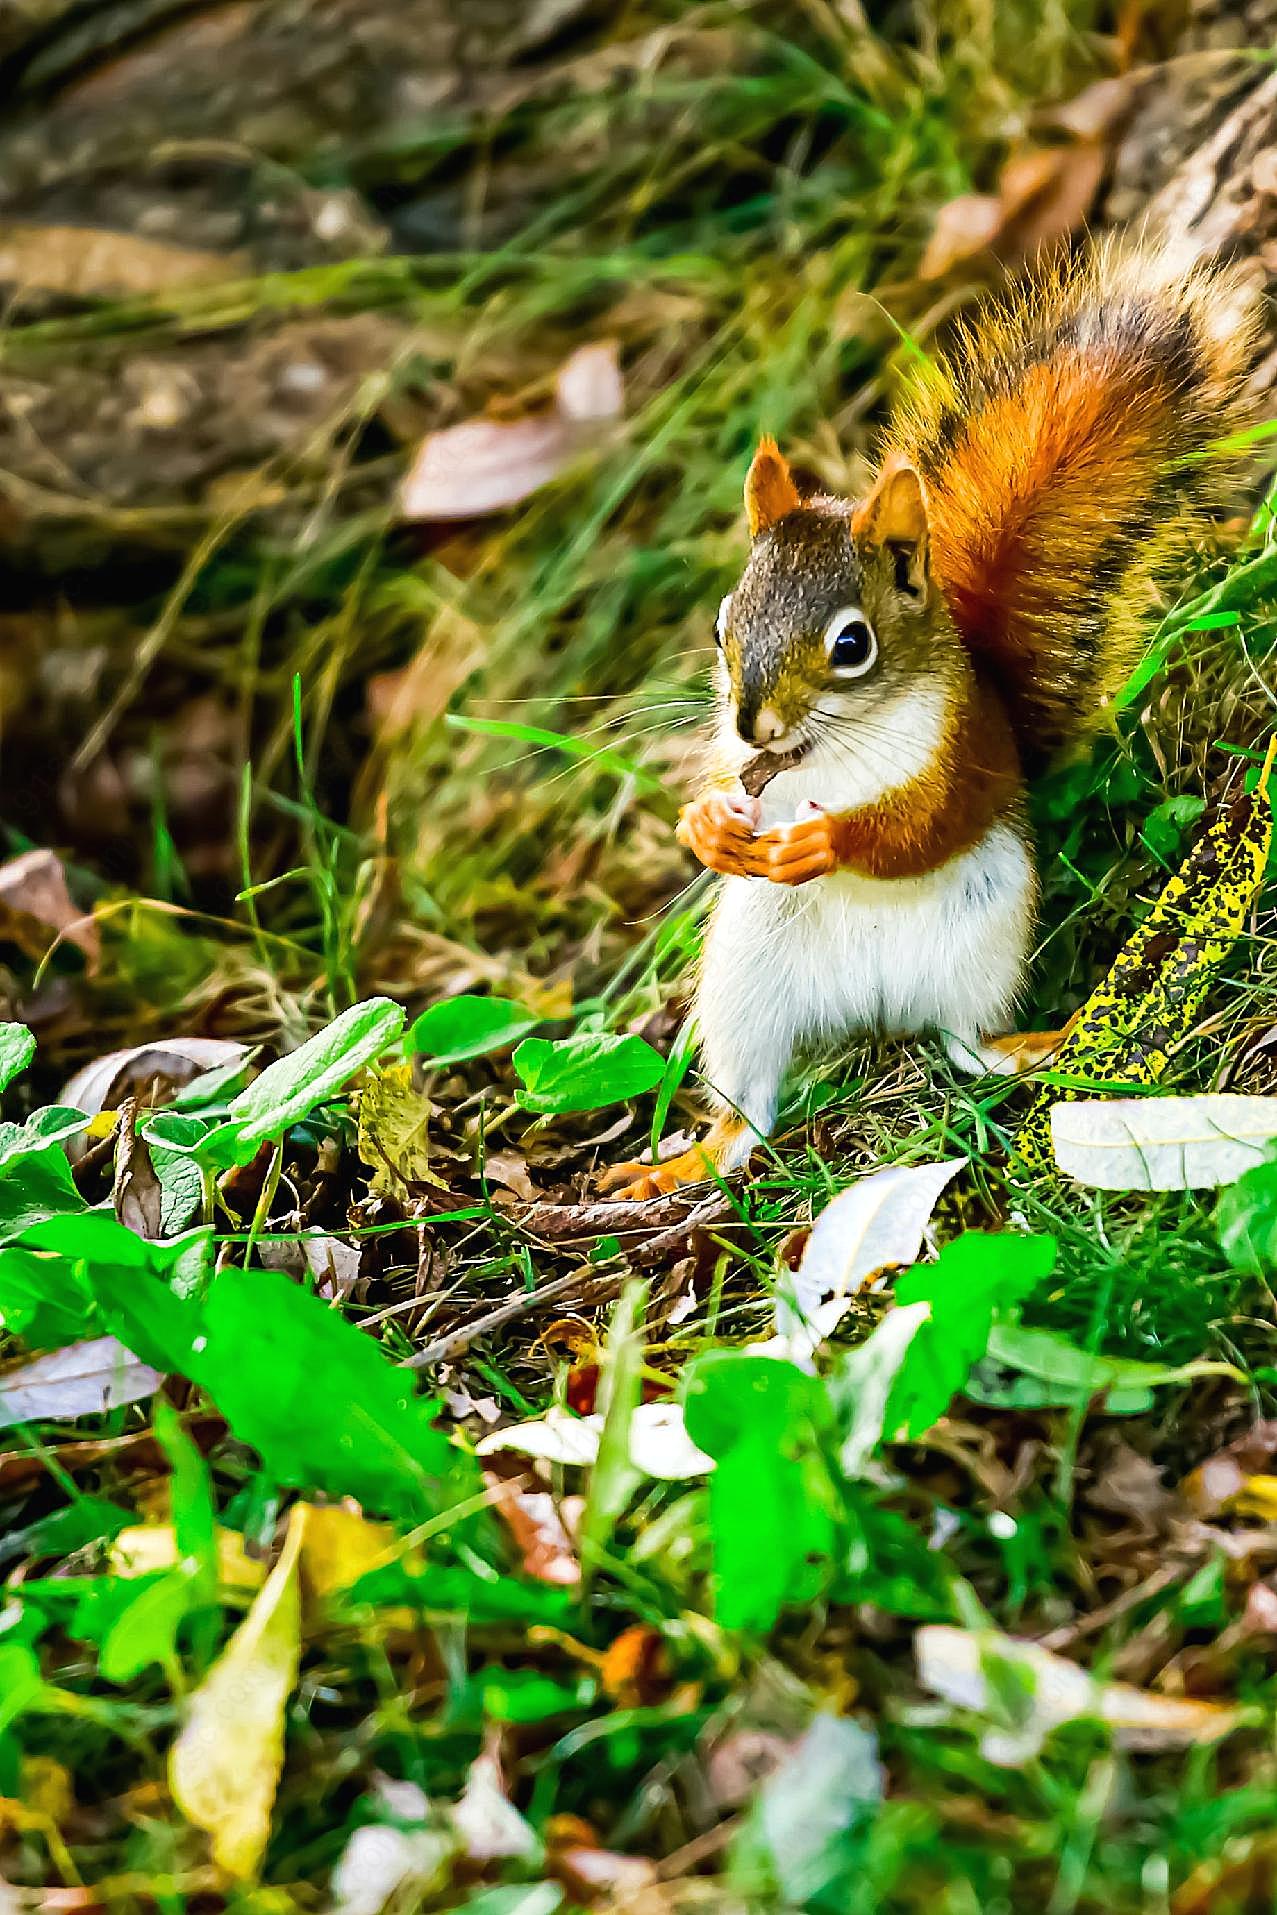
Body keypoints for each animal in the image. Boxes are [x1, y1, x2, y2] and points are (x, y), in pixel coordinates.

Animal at [612, 235, 1263, 1194]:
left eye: (851, 644)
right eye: (723, 623)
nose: (752, 727)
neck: (827, 751)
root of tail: (873, 1011)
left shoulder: (960, 754)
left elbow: (922, 826)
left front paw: (826, 841)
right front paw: (707, 827)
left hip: (980, 948)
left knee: (964, 1046)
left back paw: (1036, 1043)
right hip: (746, 984)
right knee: (751, 1115)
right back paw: (682, 1162)